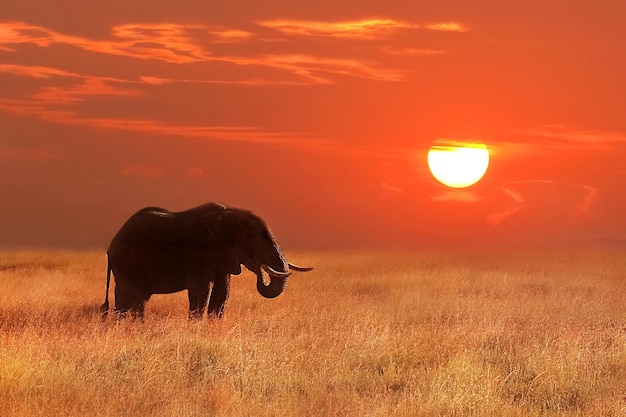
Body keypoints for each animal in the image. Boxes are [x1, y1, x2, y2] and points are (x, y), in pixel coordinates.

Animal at [100, 202, 312, 318]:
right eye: (251, 239)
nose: (260, 268)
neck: (229, 212)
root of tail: (111, 245)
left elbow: (222, 293)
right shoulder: (196, 253)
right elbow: (201, 292)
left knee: (132, 299)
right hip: (127, 263)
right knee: (132, 297)